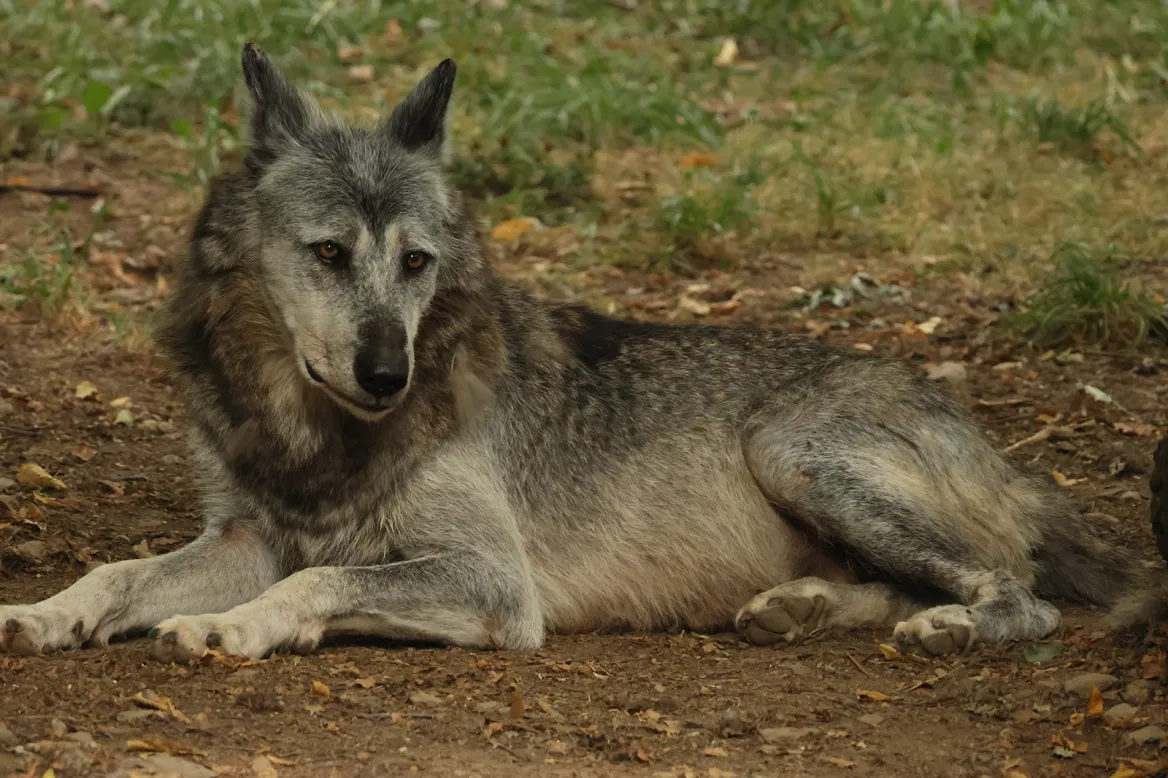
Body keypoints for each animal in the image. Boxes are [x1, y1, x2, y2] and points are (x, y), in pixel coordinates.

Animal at [2, 45, 1165, 661]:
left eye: (417, 262)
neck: (311, 435)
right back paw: (800, 609)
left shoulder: (492, 583)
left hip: (797, 455)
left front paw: (230, 629)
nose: (389, 376)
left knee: (1020, 591)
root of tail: (987, 435)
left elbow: (322, 578)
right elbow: (117, 570)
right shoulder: (245, 536)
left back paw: (949, 629)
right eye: (329, 253)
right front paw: (46, 612)